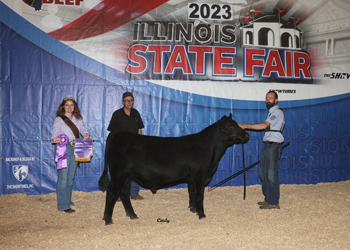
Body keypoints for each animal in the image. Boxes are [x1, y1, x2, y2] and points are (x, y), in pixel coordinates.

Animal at [98, 113, 249, 225]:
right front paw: (202, 215)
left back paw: (132, 215)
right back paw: (108, 220)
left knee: (124, 192)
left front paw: (193, 210)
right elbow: (199, 195)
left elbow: (191, 193)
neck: (212, 150)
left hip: (128, 175)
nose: (247, 135)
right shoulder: (199, 175)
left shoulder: (192, 178)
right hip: (119, 174)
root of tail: (118, 133)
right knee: (112, 192)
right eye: (231, 126)